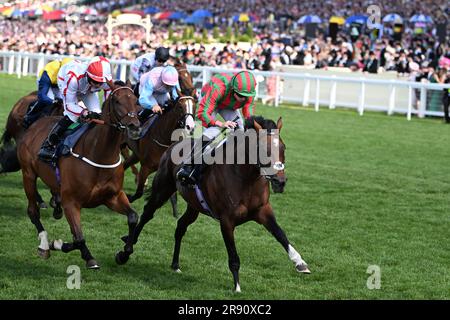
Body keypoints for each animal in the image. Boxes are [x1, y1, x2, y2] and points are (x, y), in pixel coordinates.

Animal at [17, 81, 141, 268]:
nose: (134, 127)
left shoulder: (112, 197)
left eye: (136, 100)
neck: (99, 153)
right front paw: (62, 246)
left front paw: (123, 254)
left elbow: (133, 217)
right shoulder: (71, 202)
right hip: (28, 175)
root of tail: (35, 125)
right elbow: (79, 238)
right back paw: (44, 245)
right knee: (33, 211)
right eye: (117, 101)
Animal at [119, 115, 310, 292]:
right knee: (147, 214)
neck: (246, 179)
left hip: (193, 206)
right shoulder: (227, 221)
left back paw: (175, 264)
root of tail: (173, 145)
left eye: (283, 148)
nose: (280, 182)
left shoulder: (263, 211)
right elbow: (233, 256)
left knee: (180, 226)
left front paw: (300, 262)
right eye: (263, 149)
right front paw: (237, 287)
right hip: (162, 189)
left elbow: (281, 235)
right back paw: (126, 249)